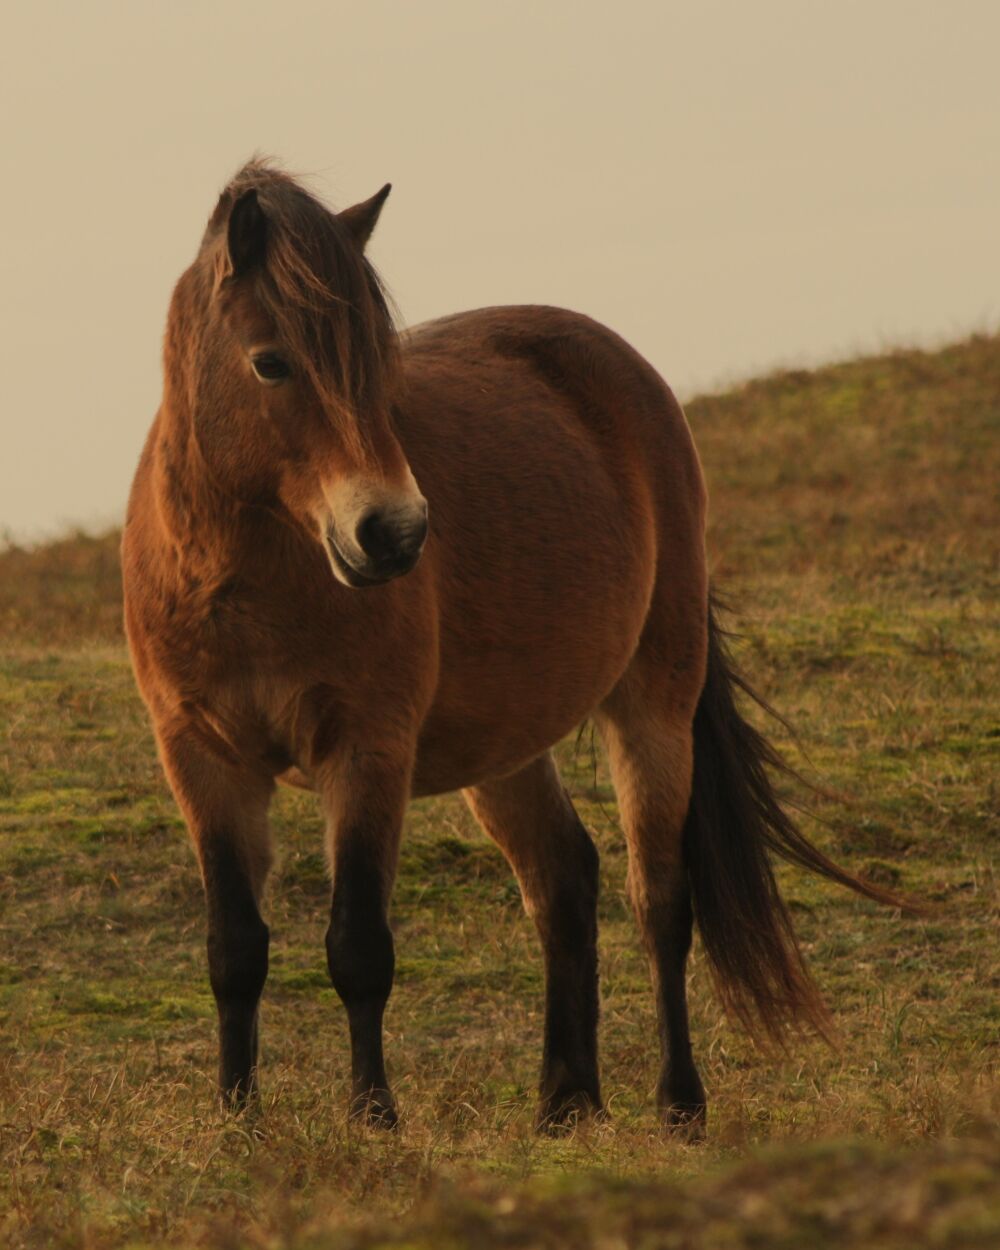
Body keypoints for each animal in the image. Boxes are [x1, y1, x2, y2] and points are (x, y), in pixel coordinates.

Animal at [121, 156, 895, 1135]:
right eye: (270, 363)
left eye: (379, 367)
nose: (393, 533)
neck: (250, 580)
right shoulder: (201, 758)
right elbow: (234, 952)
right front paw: (238, 1121)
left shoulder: (367, 751)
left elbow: (357, 945)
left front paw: (374, 1117)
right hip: (506, 749)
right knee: (563, 880)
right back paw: (566, 1101)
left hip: (655, 699)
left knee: (659, 899)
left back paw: (678, 1103)